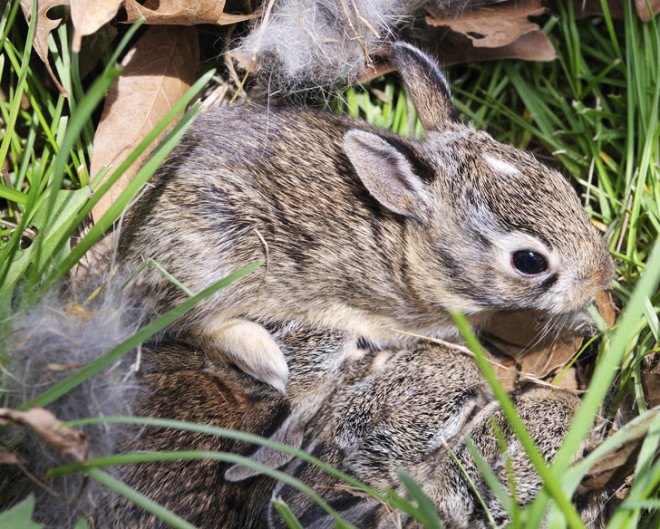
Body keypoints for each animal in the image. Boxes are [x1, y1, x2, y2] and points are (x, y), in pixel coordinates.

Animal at [118, 41, 615, 395]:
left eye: (560, 181)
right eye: (530, 262)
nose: (602, 277)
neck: (411, 252)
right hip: (217, 261)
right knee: (193, 324)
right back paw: (268, 360)